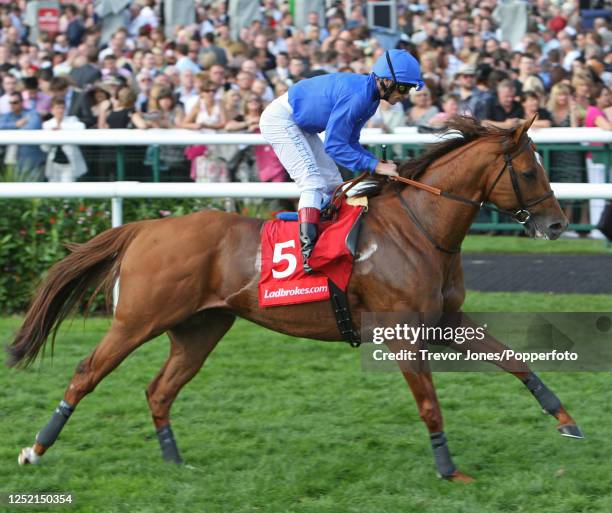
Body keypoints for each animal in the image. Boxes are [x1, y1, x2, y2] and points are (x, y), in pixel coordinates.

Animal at [8, 116, 584, 480]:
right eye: (529, 170)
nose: (558, 224)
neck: (420, 228)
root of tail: (148, 227)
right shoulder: (402, 334)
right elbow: (430, 404)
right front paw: (449, 469)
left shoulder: (445, 320)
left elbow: (514, 361)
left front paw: (565, 420)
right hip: (137, 320)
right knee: (87, 372)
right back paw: (35, 450)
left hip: (200, 328)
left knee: (159, 390)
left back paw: (175, 463)